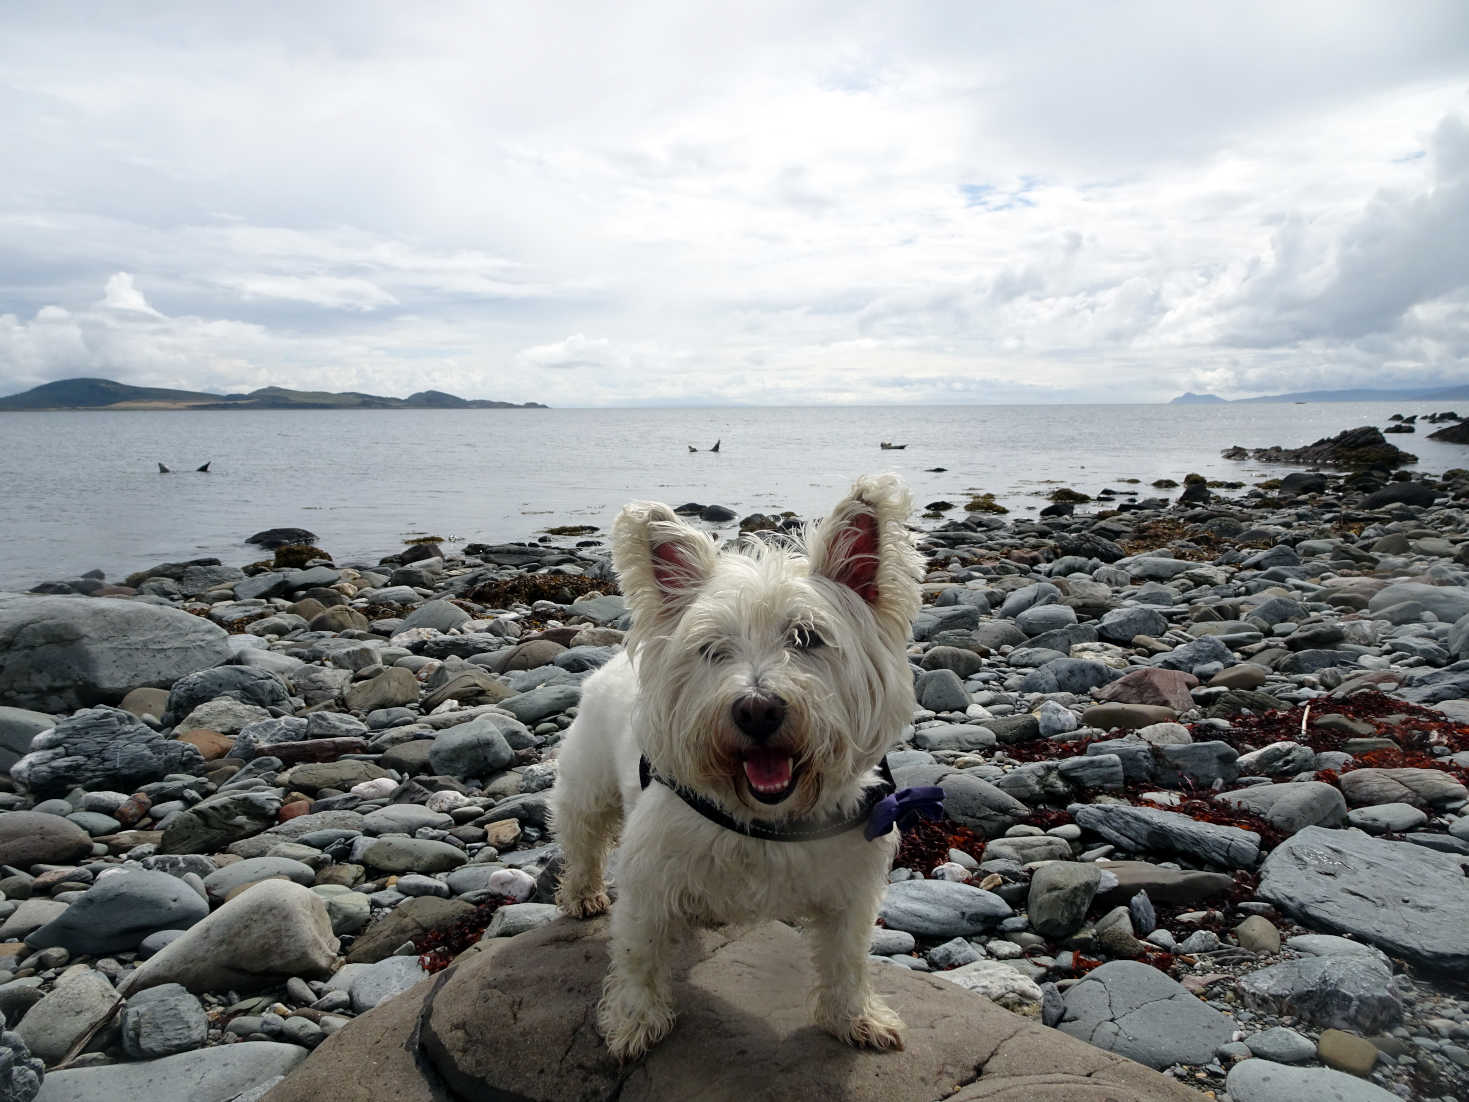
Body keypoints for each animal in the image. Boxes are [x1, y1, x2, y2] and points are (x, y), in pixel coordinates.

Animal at [552, 476, 928, 1063]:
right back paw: (582, 893)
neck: (767, 821)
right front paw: (634, 1023)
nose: (757, 710)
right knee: (581, 838)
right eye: (711, 649)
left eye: (806, 637)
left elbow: (846, 958)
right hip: (588, 784)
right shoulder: (647, 880)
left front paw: (857, 1018)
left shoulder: (850, 890)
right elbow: (638, 955)